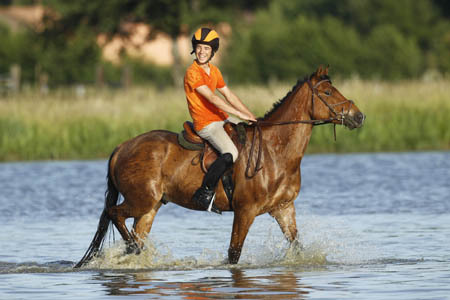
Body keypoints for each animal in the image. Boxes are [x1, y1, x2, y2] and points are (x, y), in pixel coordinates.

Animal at [75, 65, 366, 268]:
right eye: (327, 92)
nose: (359, 116)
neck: (275, 151)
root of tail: (122, 147)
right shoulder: (246, 210)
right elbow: (233, 254)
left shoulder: (284, 208)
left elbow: (296, 246)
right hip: (140, 200)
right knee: (114, 213)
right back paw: (132, 250)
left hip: (150, 207)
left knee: (134, 230)